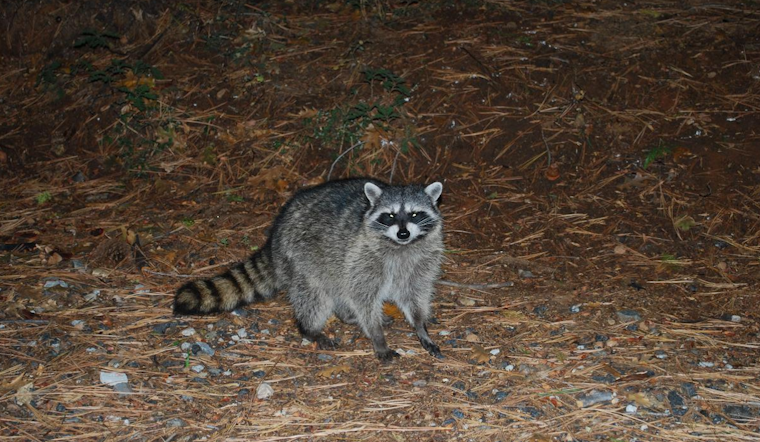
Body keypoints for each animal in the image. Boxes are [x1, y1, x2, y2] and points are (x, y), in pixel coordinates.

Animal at [174, 178, 444, 361]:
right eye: (389, 215)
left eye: (415, 214)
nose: (403, 233)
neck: (401, 247)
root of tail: (276, 233)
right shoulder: (363, 255)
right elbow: (363, 297)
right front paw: (377, 335)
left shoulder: (421, 263)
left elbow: (414, 294)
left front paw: (421, 326)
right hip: (302, 257)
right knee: (314, 295)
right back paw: (311, 328)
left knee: (338, 286)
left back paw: (345, 314)